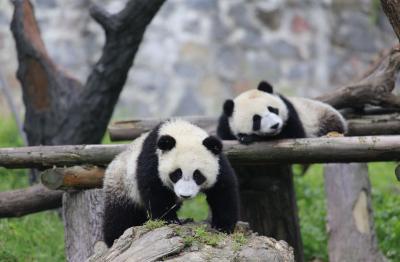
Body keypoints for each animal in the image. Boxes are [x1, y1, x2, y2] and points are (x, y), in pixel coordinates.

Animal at [103, 119, 241, 247]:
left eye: (197, 175)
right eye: (177, 173)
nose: (185, 195)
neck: (181, 130)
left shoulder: (218, 162)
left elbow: (223, 191)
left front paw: (223, 226)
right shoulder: (153, 159)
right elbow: (155, 191)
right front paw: (169, 220)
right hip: (122, 184)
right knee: (120, 216)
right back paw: (114, 237)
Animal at [217, 81, 346, 144]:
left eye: (272, 109)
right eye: (256, 119)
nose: (275, 125)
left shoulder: (290, 110)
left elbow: (294, 133)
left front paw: (247, 138)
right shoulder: (226, 126)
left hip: (321, 115)